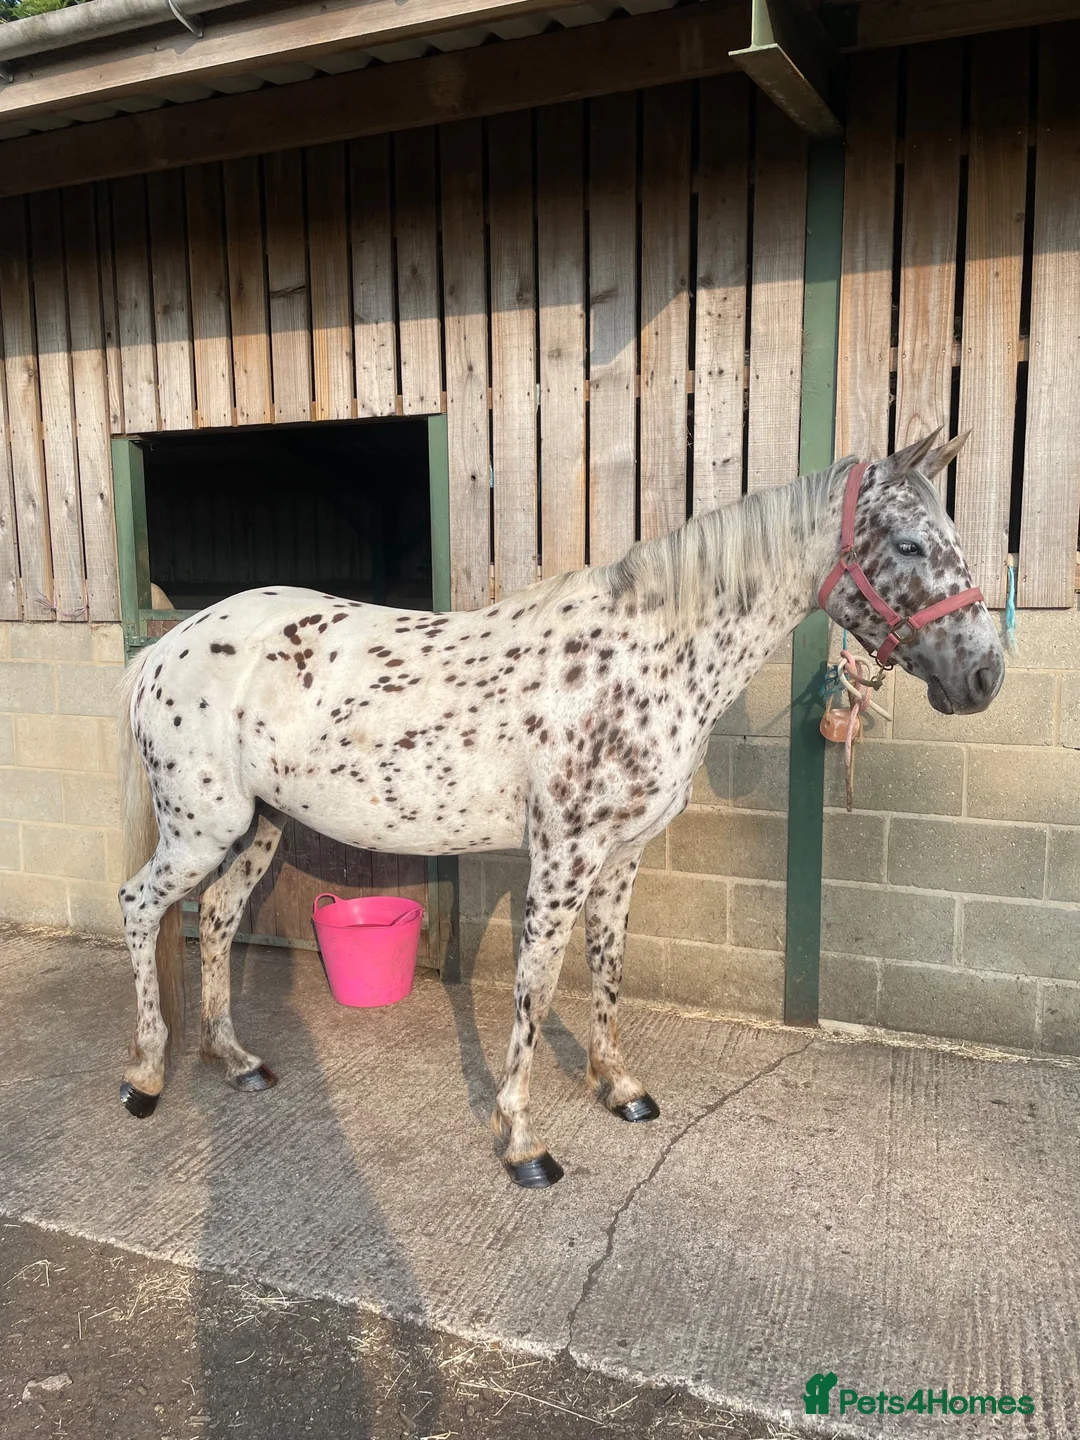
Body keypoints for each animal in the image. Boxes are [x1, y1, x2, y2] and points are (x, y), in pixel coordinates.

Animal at [116, 431, 1004, 1187]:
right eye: (910, 544)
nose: (985, 676)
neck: (646, 658)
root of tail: (168, 645)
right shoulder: (562, 858)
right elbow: (538, 985)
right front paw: (522, 1142)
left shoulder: (621, 856)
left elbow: (608, 966)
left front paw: (619, 1089)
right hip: (201, 830)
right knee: (139, 906)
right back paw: (146, 1075)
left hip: (256, 829)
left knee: (218, 918)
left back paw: (235, 1061)